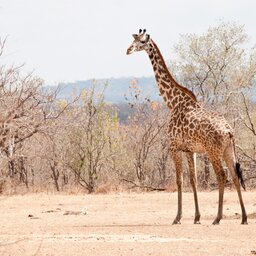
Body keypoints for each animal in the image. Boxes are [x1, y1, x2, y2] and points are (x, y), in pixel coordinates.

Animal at [127, 28, 247, 224]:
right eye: (134, 39)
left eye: (143, 41)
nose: (128, 50)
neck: (172, 102)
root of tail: (229, 131)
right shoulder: (190, 150)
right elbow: (193, 180)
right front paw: (197, 217)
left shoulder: (174, 146)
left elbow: (179, 180)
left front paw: (177, 217)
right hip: (228, 150)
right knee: (235, 175)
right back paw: (243, 218)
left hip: (213, 151)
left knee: (222, 176)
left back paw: (217, 218)